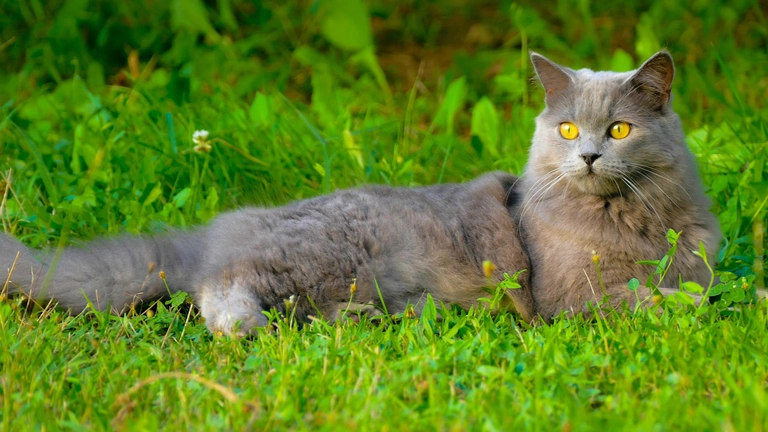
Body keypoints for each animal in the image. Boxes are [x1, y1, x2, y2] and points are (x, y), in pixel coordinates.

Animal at [520, 51, 724, 320]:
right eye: (568, 129)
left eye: (619, 130)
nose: (588, 155)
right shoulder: (574, 296)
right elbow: (657, 296)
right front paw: (716, 304)